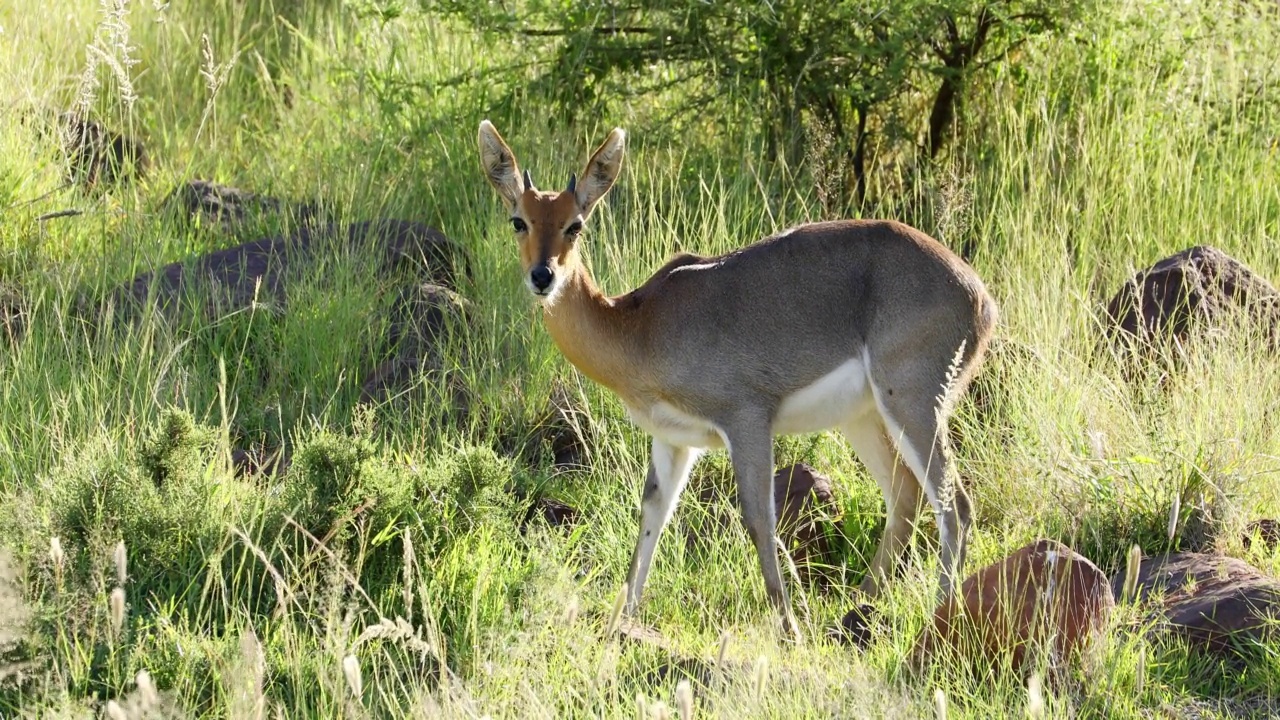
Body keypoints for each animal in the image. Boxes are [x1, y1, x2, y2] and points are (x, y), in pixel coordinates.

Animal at [481, 119, 998, 638]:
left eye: (576, 223)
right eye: (518, 220)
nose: (543, 276)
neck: (640, 325)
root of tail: (978, 292)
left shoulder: (746, 419)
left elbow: (757, 519)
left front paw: (790, 629)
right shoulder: (673, 439)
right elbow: (652, 516)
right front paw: (623, 622)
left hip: (913, 404)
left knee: (954, 505)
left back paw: (937, 615)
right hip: (864, 417)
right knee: (905, 497)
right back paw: (855, 611)